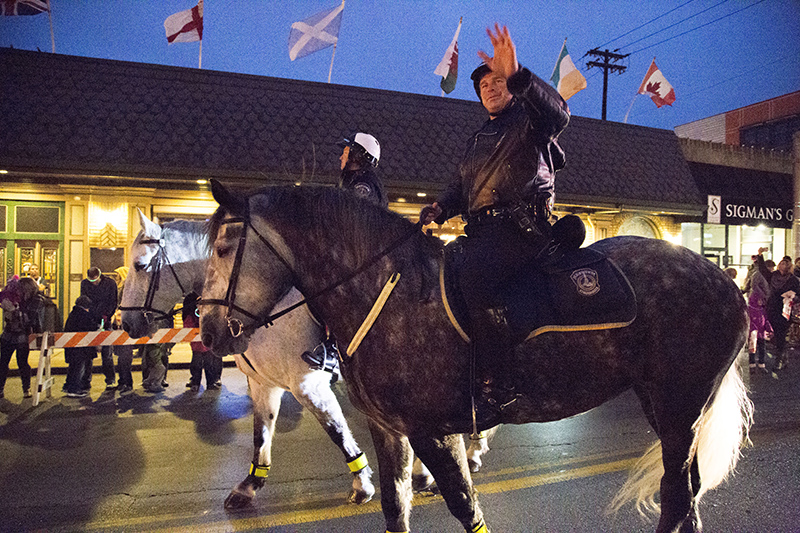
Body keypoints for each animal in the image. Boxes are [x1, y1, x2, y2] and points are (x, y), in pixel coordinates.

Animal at [120, 211, 494, 502]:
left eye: (140, 265)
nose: (126, 323)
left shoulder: (309, 385)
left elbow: (338, 432)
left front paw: (362, 484)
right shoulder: (262, 383)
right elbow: (261, 433)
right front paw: (249, 485)